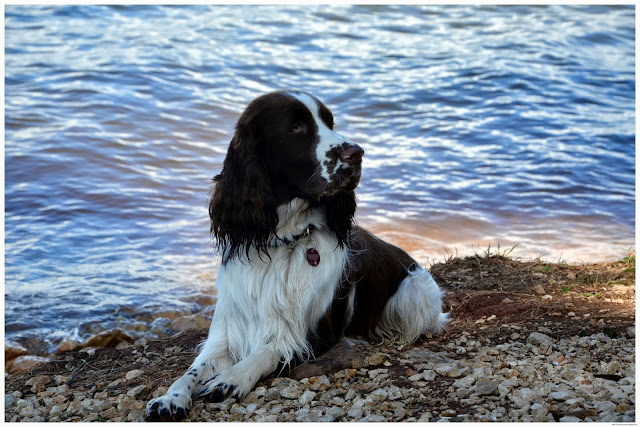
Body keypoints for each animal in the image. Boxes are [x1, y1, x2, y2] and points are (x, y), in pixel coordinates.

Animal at [144, 90, 448, 421]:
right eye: (296, 127)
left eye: (329, 122)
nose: (357, 153)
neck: (283, 242)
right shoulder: (226, 332)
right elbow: (192, 370)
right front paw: (169, 398)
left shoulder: (312, 334)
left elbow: (270, 350)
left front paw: (232, 378)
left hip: (413, 294)